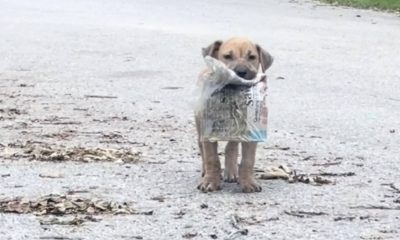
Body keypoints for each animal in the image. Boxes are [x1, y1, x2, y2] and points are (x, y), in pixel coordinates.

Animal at [196, 38, 274, 194]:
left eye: (252, 57)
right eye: (227, 56)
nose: (241, 72)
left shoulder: (250, 133)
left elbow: (248, 160)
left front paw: (248, 182)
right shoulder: (208, 131)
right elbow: (211, 158)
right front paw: (210, 181)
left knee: (231, 146)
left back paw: (231, 171)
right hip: (199, 123)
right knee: (201, 146)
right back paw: (205, 171)